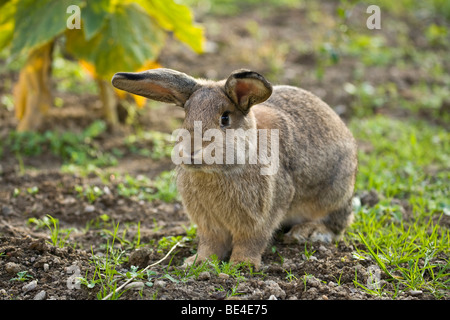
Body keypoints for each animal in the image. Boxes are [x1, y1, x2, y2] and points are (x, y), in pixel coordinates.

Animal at [112, 68, 358, 270]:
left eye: (225, 118)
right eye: (186, 116)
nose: (191, 152)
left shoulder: (261, 217)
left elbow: (250, 241)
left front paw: (242, 265)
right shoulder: (209, 225)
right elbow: (211, 244)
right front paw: (198, 262)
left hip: (335, 193)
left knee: (336, 225)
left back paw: (307, 232)